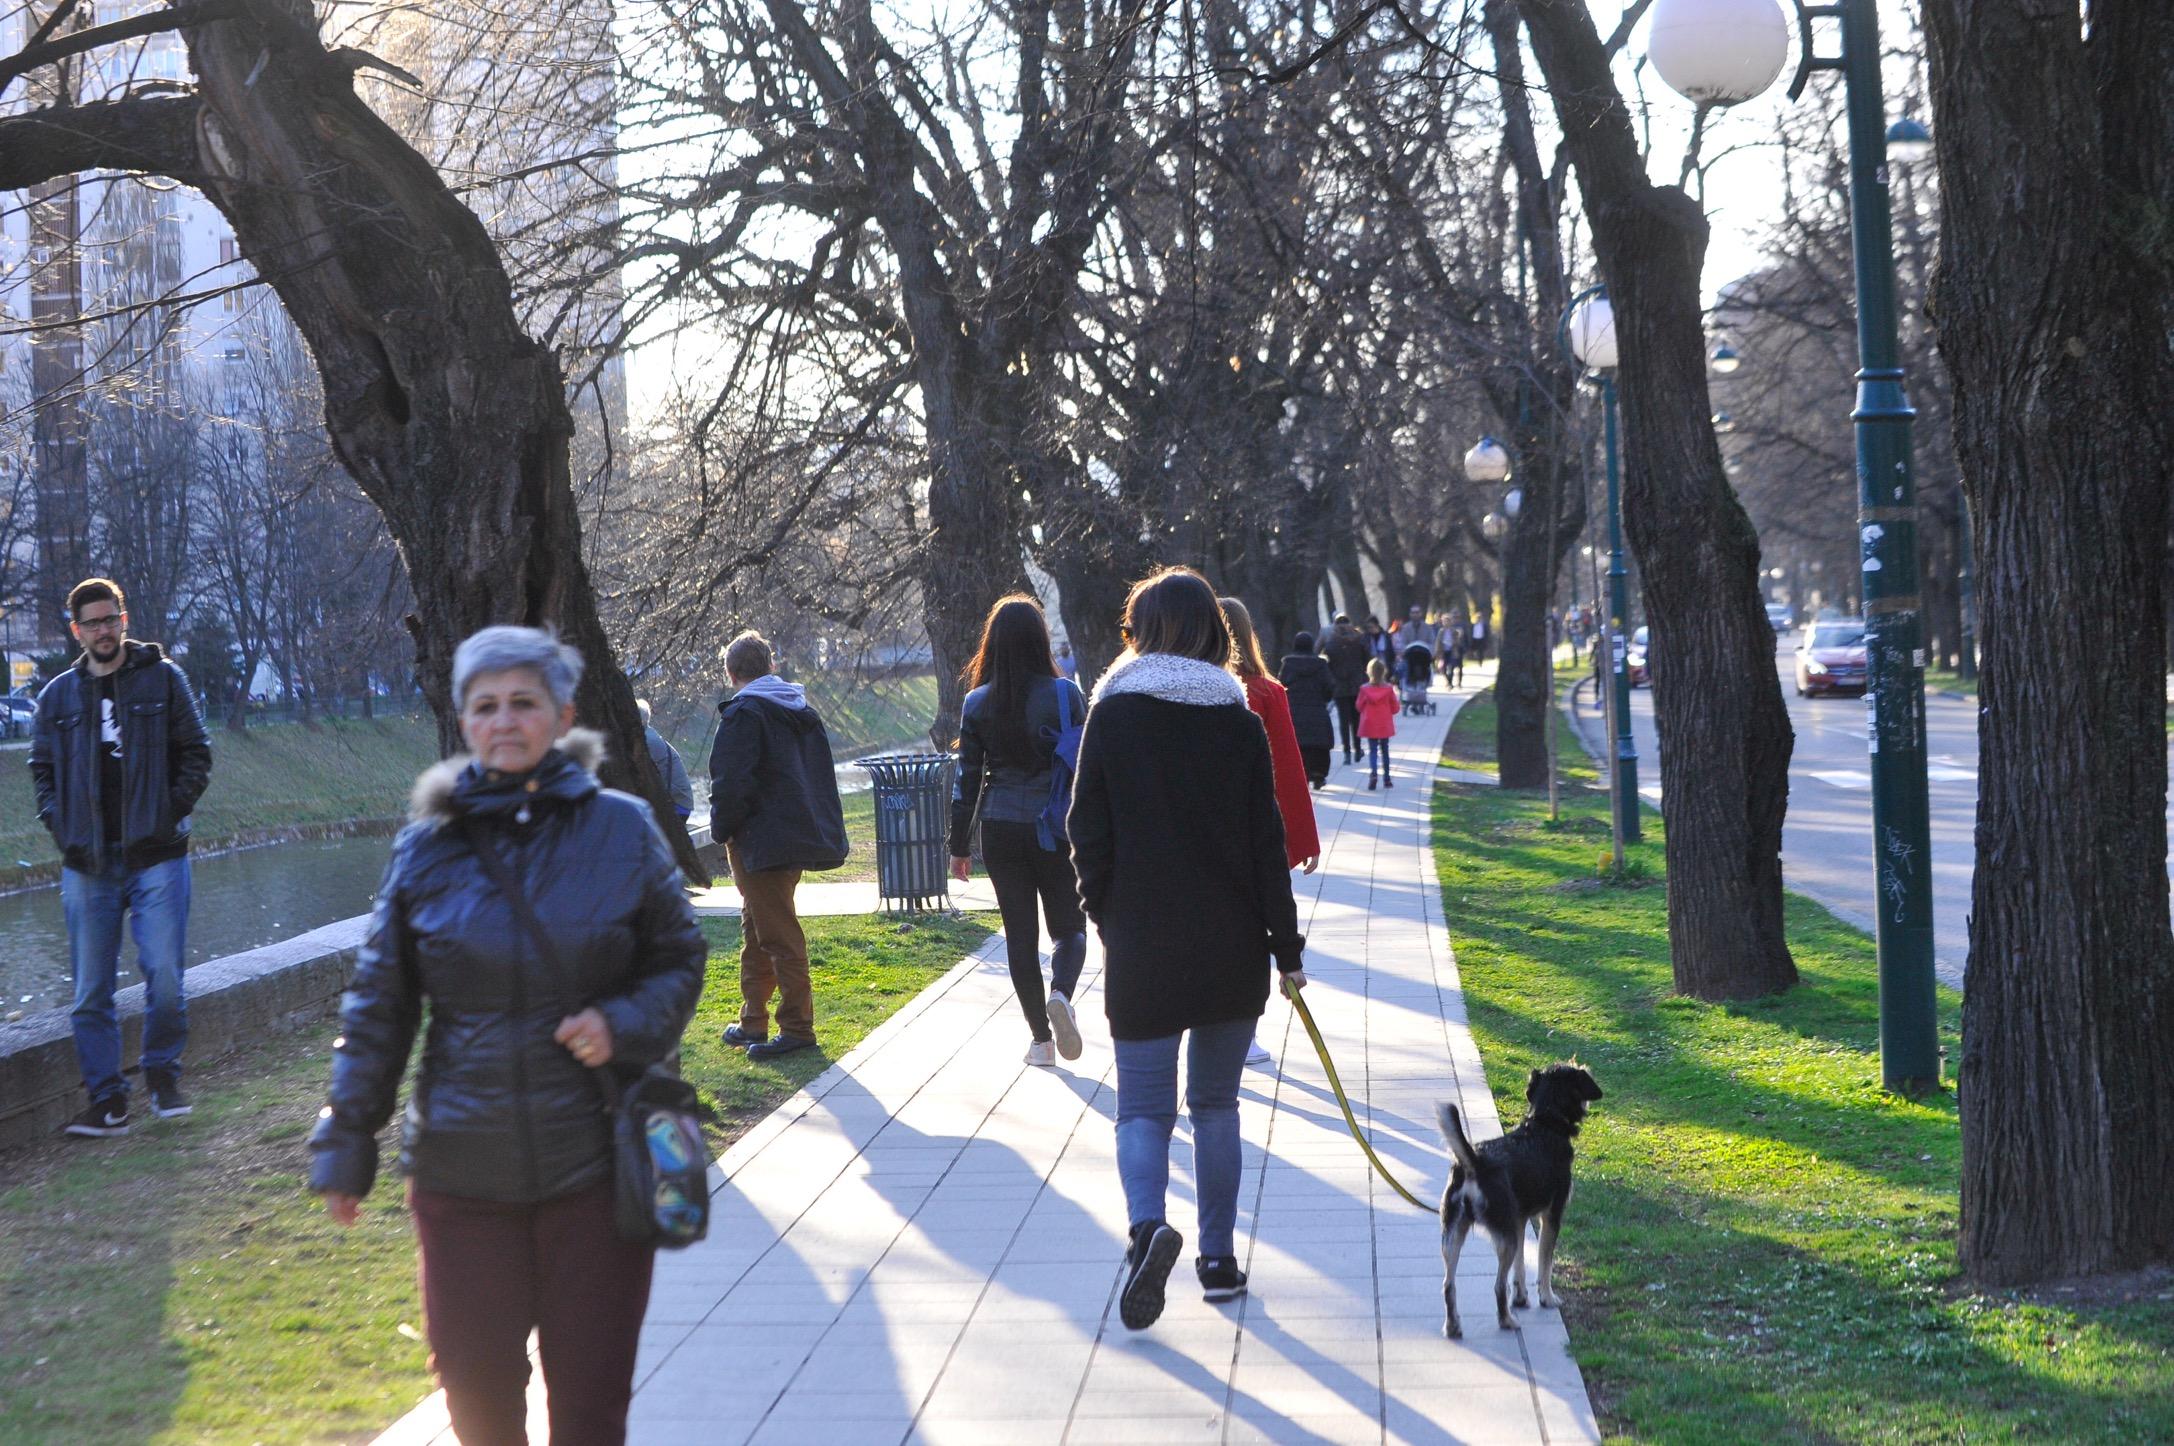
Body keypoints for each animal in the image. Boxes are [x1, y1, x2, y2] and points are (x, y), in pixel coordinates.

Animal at [1434, 1056, 1608, 1339]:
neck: (1545, 1125)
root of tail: (1474, 1164)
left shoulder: (1520, 1220)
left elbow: (1520, 1268)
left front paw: (1521, 1297)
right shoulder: (1551, 1217)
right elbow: (1544, 1264)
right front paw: (1547, 1298)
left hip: (1453, 1235)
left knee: (1449, 1284)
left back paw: (1453, 1326)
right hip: (1504, 1237)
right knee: (1497, 1285)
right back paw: (1506, 1320)